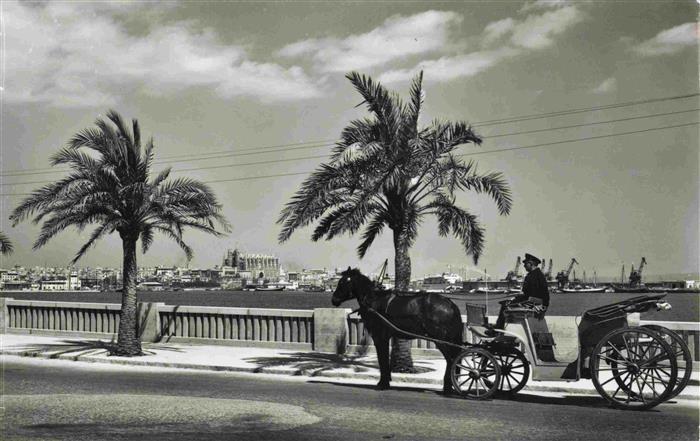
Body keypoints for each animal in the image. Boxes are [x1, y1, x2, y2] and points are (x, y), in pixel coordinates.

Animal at [332, 264, 464, 392]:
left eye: (342, 282)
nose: (334, 299)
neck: (373, 300)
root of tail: (450, 304)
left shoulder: (380, 337)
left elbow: (382, 360)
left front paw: (382, 383)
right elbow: (384, 359)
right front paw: (385, 382)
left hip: (441, 340)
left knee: (451, 359)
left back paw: (448, 386)